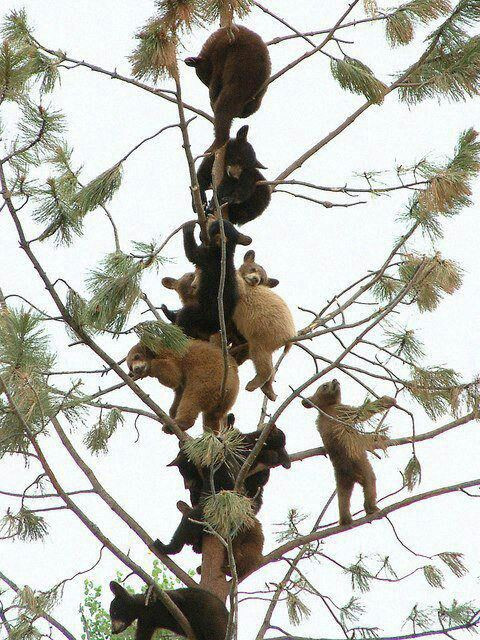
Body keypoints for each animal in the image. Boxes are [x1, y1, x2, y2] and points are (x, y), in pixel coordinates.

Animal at [232, 250, 296, 401]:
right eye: (253, 269)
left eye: (261, 279)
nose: (255, 279)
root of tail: (290, 337)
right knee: (270, 365)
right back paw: (270, 391)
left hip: (264, 334)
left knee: (261, 359)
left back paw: (253, 384)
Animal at [302, 379, 396, 526]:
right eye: (324, 385)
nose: (335, 379)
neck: (325, 408)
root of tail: (350, 474)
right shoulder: (343, 411)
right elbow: (363, 412)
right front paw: (388, 400)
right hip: (363, 467)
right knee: (370, 483)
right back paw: (372, 509)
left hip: (341, 480)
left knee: (343, 498)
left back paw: (345, 520)